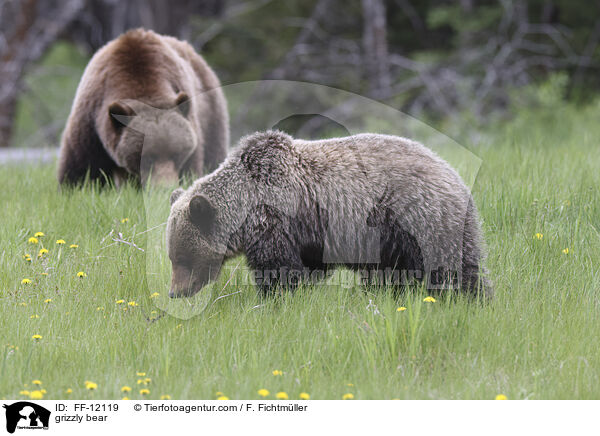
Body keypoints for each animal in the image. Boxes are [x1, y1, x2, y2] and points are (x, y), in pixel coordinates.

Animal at [56, 28, 230, 186]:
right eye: (147, 157)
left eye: (176, 154)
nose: (164, 187)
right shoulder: (91, 120)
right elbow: (80, 168)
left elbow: (191, 166)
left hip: (211, 112)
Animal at [165, 131, 492, 298]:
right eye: (172, 257)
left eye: (182, 257)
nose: (174, 293)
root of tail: (456, 177)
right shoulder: (307, 234)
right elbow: (309, 266)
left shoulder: (274, 219)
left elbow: (277, 268)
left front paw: (273, 298)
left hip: (419, 218)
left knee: (449, 268)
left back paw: (467, 298)